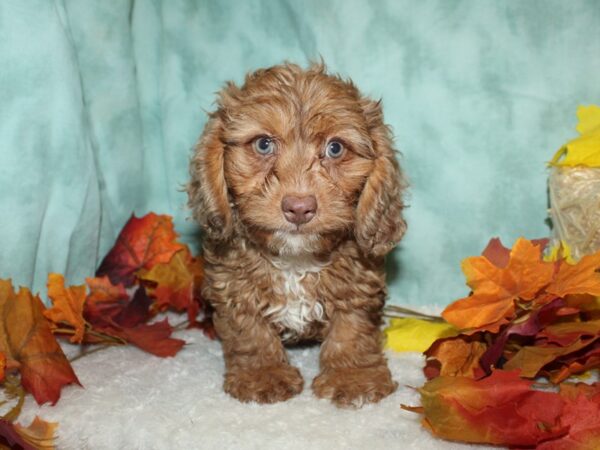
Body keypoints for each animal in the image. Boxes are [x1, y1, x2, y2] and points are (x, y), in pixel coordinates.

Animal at [188, 63, 408, 408]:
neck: (295, 260)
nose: (299, 207)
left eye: (335, 148)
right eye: (263, 144)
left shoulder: (358, 284)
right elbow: (249, 331)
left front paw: (353, 376)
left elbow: (352, 328)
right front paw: (263, 373)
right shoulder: (232, 285)